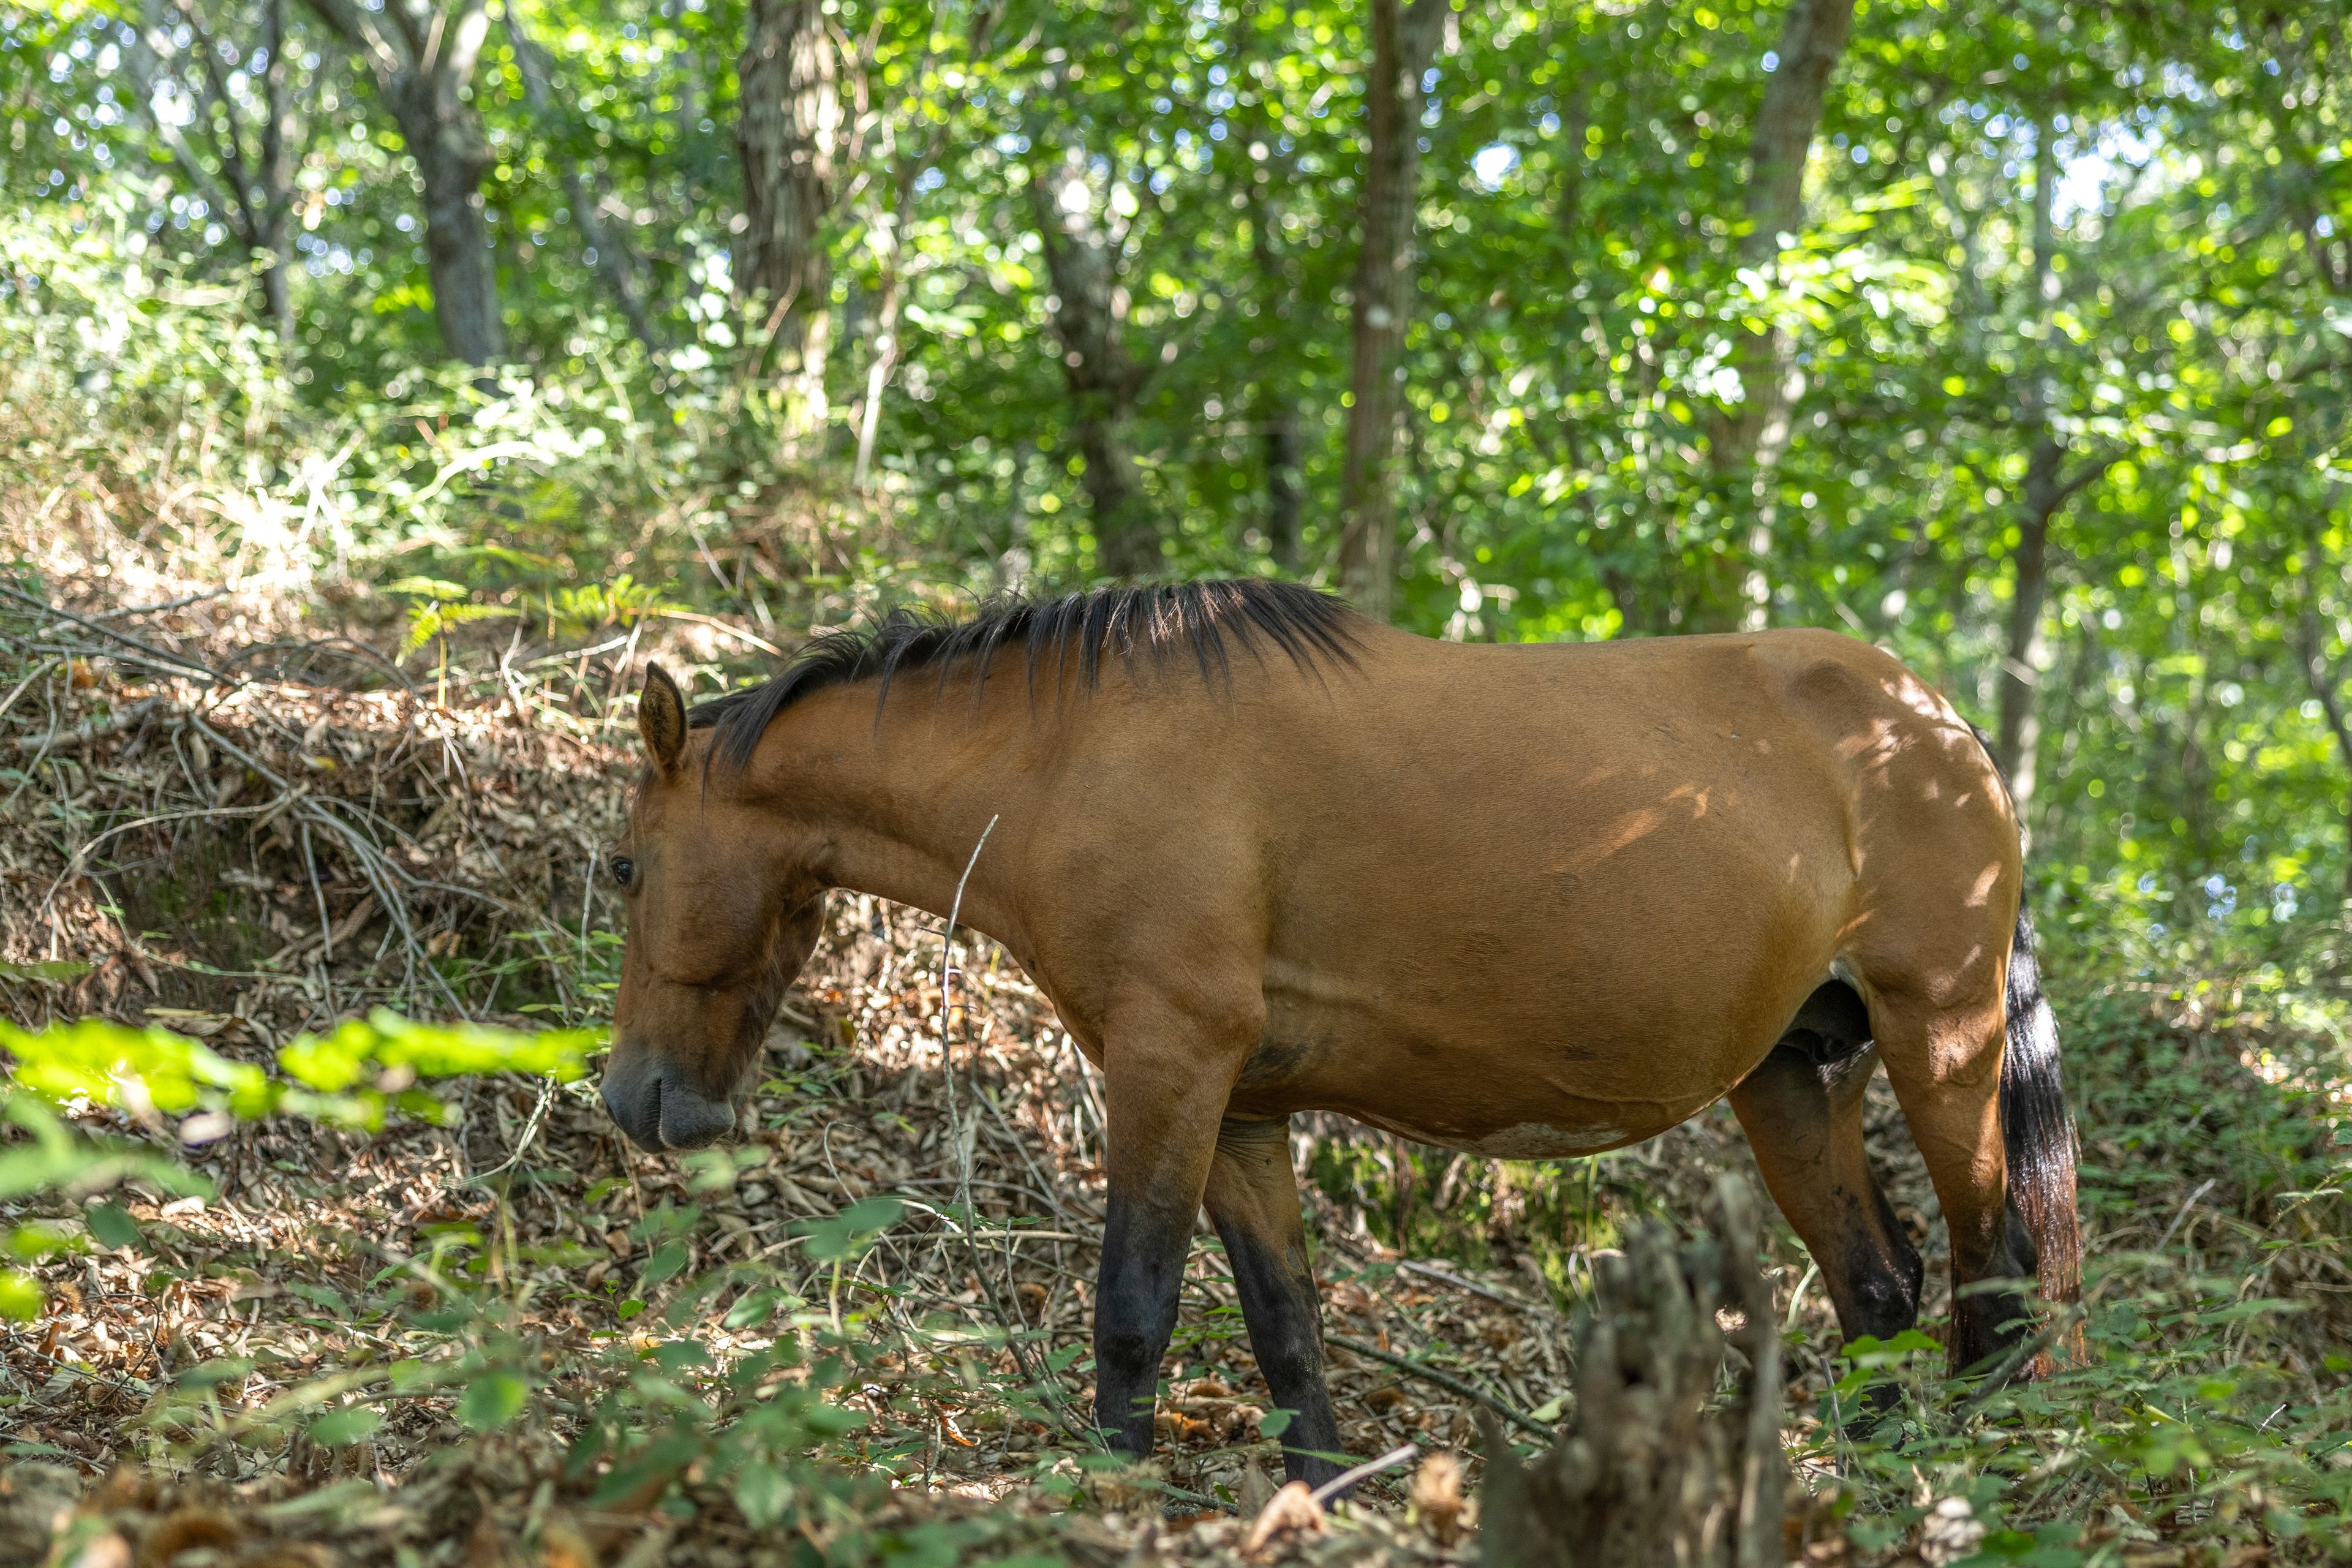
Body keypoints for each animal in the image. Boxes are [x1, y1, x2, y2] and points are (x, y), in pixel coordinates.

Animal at [598, 579, 2081, 1489]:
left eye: (620, 867)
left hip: (1939, 1039)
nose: (633, 1101)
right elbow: (1286, 1326)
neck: (1075, 752)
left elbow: (1133, 1306)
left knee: (1995, 1273)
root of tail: (1937, 726)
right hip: (1791, 1075)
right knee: (1880, 1288)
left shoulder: (1169, 1066)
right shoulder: (1242, 1109)